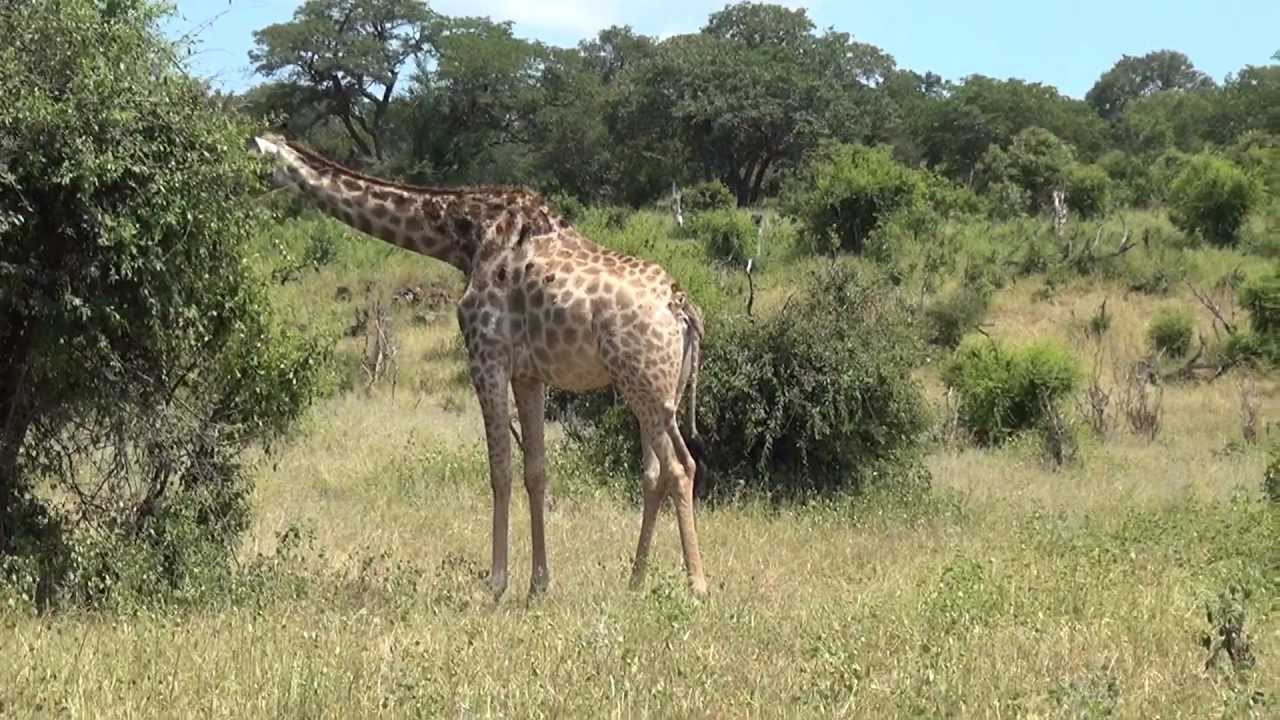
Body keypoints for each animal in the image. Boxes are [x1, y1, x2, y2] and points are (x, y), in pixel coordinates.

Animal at [250, 135, 710, 600]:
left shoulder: (486, 355)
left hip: (644, 384)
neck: (463, 239)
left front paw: (497, 583)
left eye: (256, 158)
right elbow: (536, 471)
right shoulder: (528, 373)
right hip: (656, 392)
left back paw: (697, 584)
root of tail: (682, 306)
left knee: (678, 468)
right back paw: (636, 580)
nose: (243, 188)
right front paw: (538, 585)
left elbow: (499, 469)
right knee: (659, 472)